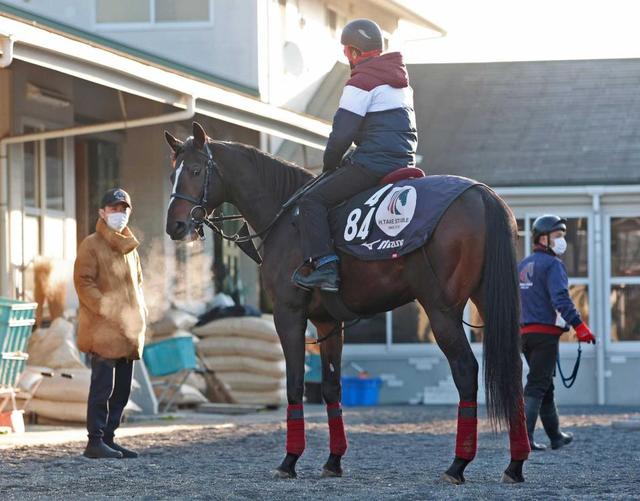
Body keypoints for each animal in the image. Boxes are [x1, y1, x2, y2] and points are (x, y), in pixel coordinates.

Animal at [163, 122, 530, 484]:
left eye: (195, 170)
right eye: (171, 174)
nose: (175, 225)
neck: (287, 217)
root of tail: (480, 194)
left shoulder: (288, 313)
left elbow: (295, 384)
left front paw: (290, 460)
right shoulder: (328, 322)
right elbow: (330, 387)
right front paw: (333, 460)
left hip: (441, 310)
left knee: (466, 371)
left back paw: (458, 464)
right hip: (486, 301)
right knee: (514, 371)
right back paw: (514, 464)